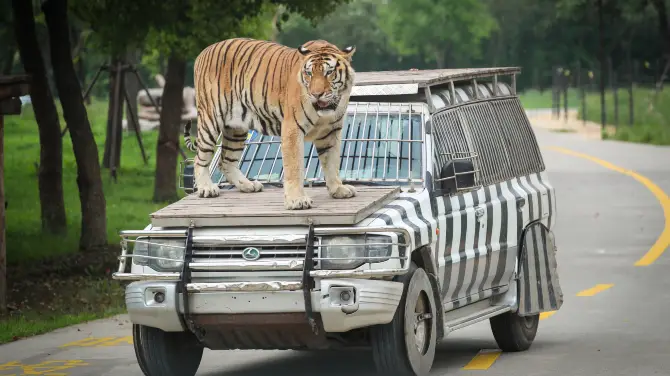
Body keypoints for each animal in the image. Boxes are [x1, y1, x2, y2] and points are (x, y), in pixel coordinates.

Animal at [184, 37, 360, 212]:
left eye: (329, 72)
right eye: (309, 73)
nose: (316, 94)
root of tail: (204, 51)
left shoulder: (331, 131)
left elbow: (332, 162)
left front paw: (338, 189)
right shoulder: (292, 128)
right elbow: (294, 167)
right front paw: (297, 200)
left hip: (236, 127)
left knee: (226, 161)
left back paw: (248, 185)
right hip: (210, 119)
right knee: (199, 159)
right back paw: (207, 188)